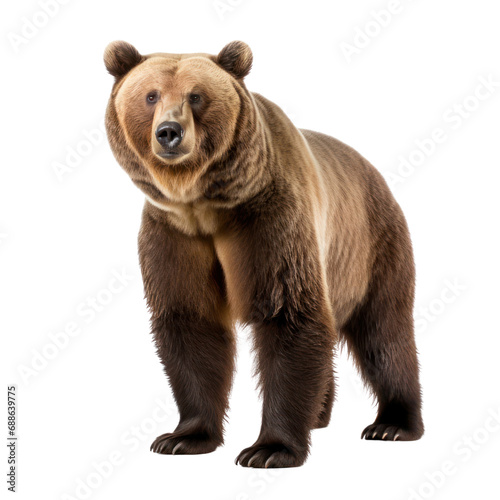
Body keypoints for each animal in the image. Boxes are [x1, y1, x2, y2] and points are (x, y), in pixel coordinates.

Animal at [103, 41, 424, 466]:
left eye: (196, 96)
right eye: (150, 95)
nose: (169, 132)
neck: (203, 204)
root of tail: (375, 172)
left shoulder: (268, 217)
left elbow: (288, 313)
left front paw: (269, 448)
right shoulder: (173, 234)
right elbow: (190, 321)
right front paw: (182, 437)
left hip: (372, 247)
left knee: (384, 332)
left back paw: (393, 424)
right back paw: (320, 414)